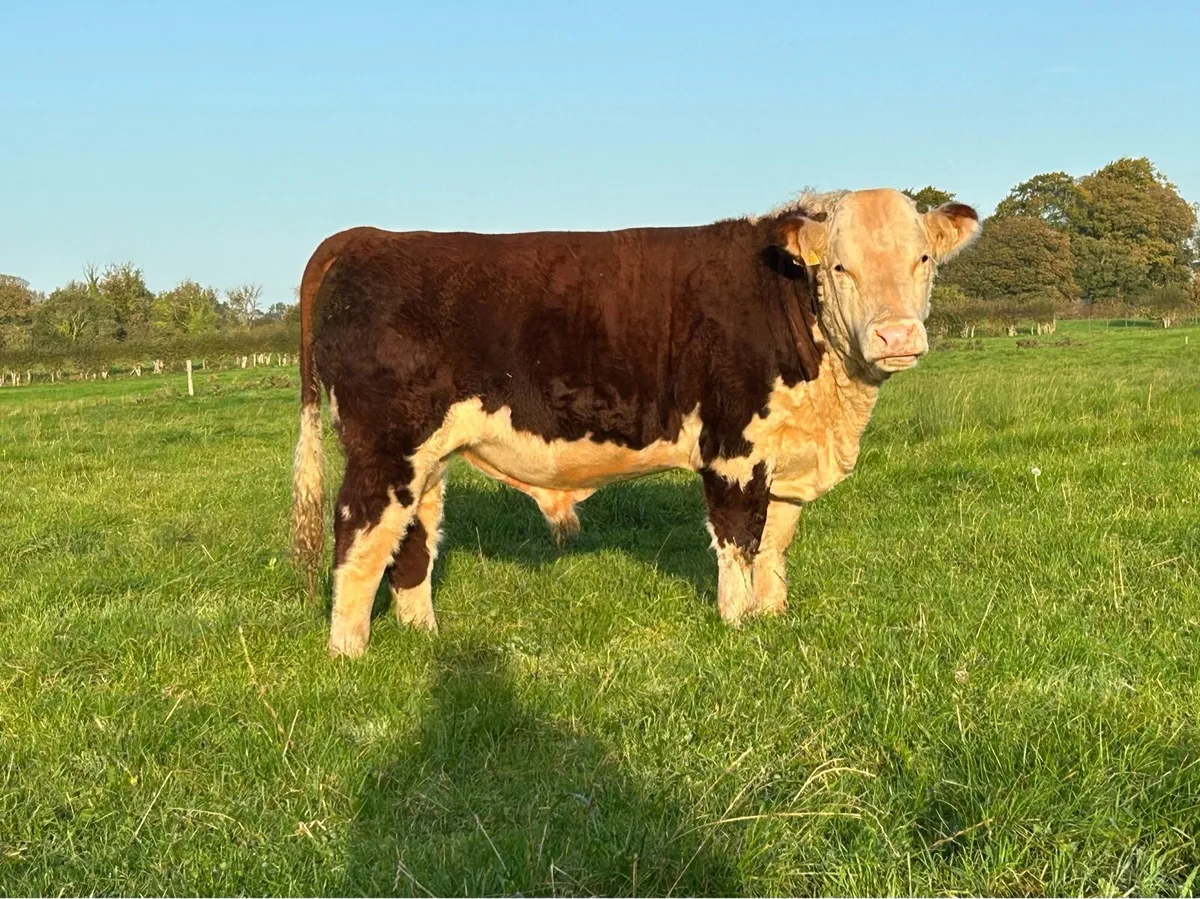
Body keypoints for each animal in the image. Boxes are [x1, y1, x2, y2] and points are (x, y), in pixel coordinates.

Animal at [291, 188, 980, 657]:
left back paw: (426, 640)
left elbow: (775, 544)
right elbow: (739, 542)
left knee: (411, 544)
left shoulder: (785, 458)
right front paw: (738, 628)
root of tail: (370, 236)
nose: (897, 336)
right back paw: (350, 655)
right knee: (358, 540)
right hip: (384, 448)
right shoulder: (733, 449)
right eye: (839, 266)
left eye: (923, 259)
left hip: (426, 460)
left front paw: (773, 619)